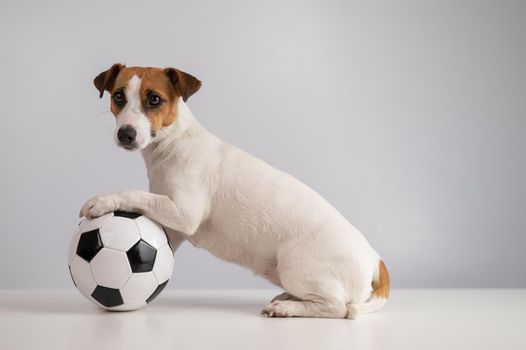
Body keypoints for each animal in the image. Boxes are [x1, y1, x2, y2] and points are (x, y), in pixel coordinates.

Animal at [79, 64, 392, 318]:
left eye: (154, 99)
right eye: (118, 96)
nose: (126, 134)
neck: (174, 141)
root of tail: (375, 259)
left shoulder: (184, 213)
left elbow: (136, 194)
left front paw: (101, 201)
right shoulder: (174, 227)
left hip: (296, 265)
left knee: (338, 308)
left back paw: (286, 308)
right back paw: (288, 298)